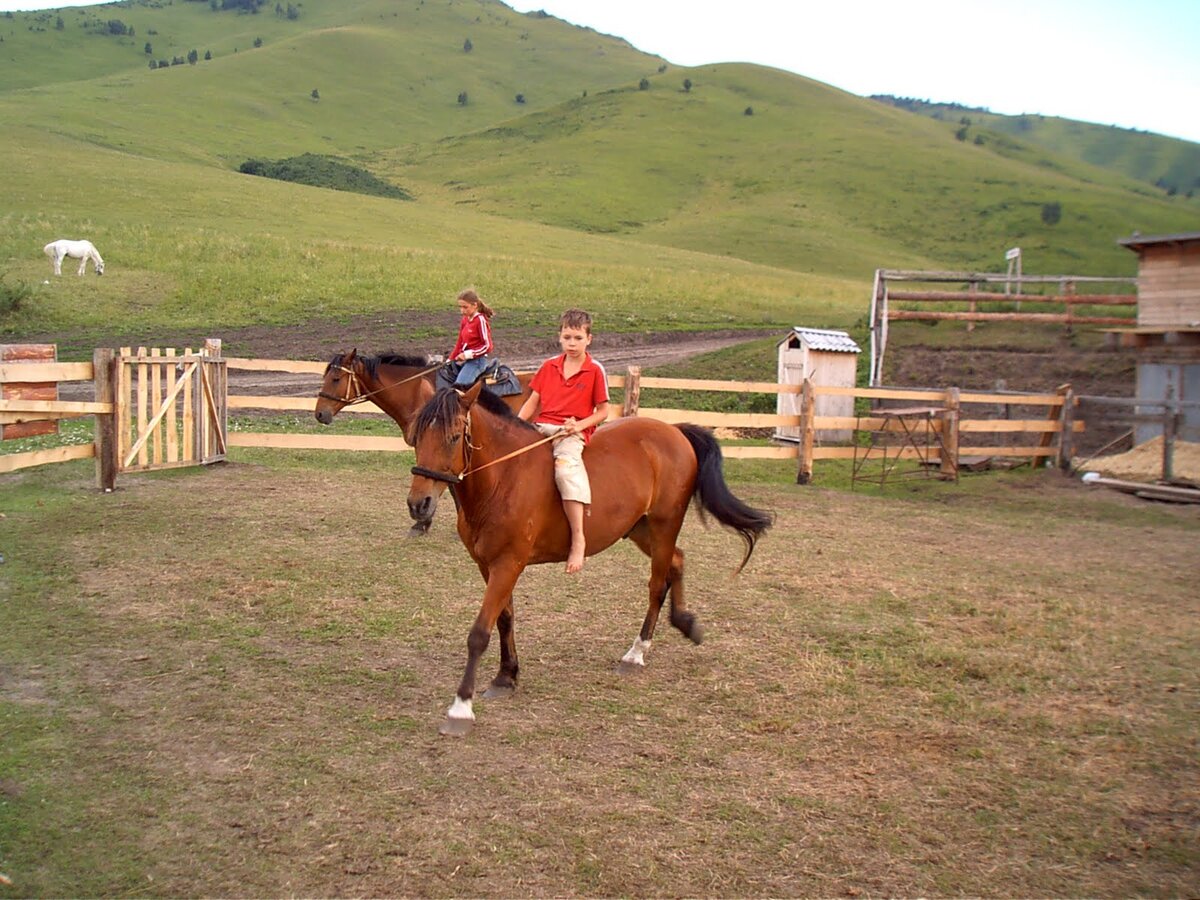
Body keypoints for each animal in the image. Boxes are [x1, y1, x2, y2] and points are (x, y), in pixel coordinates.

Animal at [408, 384, 772, 734]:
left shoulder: (508, 564)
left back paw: (636, 653)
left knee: (657, 584)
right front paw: (506, 676)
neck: (504, 477)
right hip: (640, 529)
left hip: (664, 525)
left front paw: (460, 708)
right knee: (677, 562)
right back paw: (685, 623)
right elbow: (504, 619)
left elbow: (479, 633)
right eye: (415, 437)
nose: (418, 505)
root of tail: (674, 430)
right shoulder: (489, 565)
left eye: (455, 437)